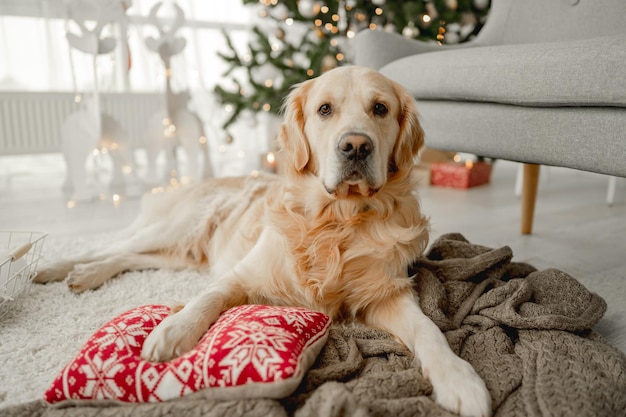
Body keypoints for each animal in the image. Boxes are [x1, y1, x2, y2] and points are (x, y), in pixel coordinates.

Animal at [36, 66, 490, 414]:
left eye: (380, 108)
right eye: (324, 109)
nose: (356, 146)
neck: (337, 222)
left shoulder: (386, 292)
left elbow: (428, 330)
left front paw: (461, 381)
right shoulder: (241, 275)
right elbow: (207, 299)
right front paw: (172, 331)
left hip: (181, 253)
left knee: (130, 256)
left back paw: (84, 273)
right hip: (179, 225)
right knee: (109, 247)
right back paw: (62, 269)